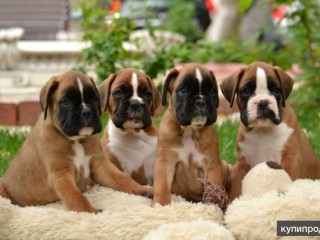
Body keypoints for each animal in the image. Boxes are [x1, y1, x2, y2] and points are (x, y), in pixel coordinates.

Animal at [0, 70, 151, 213]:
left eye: (95, 98)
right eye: (66, 101)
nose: (86, 112)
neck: (76, 140)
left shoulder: (100, 164)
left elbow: (122, 179)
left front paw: (142, 190)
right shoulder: (61, 174)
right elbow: (75, 195)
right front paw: (88, 211)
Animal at [152, 62, 228, 205]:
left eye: (211, 91)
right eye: (183, 91)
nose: (201, 101)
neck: (189, 130)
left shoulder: (212, 165)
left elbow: (213, 188)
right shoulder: (165, 163)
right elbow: (162, 186)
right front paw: (161, 205)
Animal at [220, 61, 320, 200]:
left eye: (276, 90)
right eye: (246, 91)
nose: (263, 102)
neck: (263, 130)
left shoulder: (291, 159)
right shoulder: (242, 164)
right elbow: (236, 189)